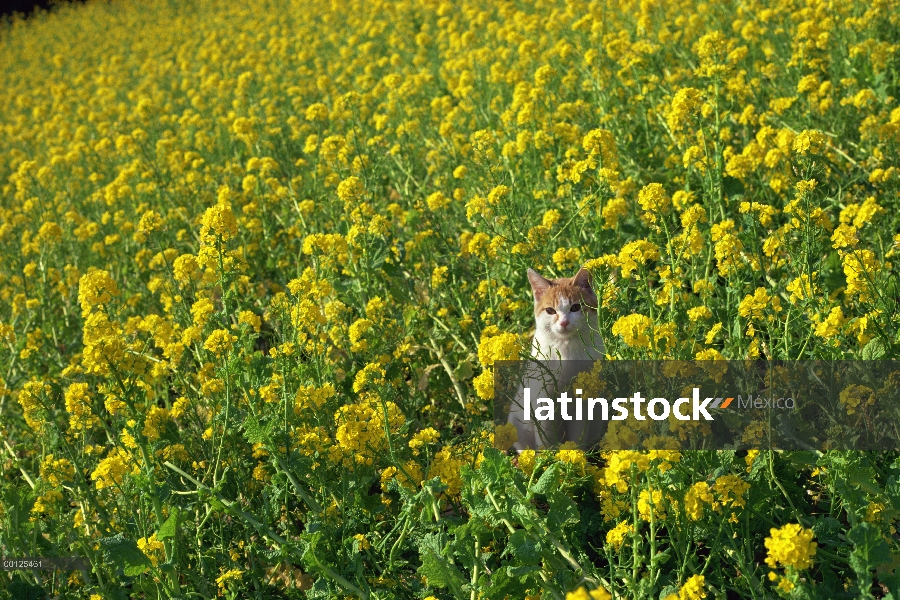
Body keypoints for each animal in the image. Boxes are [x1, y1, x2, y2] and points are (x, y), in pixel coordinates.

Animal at [506, 266, 604, 450]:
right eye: (550, 310)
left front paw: (576, 454)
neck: (565, 349)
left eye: (575, 307)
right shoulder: (543, 400)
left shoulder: (582, 402)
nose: (564, 323)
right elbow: (546, 438)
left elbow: (578, 434)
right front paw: (550, 455)